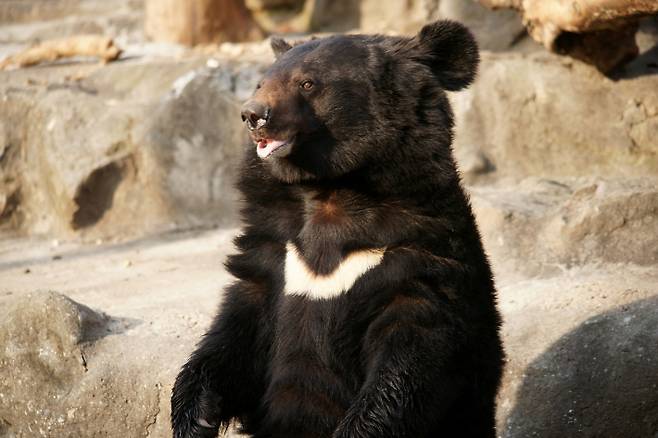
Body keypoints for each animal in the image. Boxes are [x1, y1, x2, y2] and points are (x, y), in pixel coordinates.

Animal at [169, 19, 502, 438]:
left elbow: (411, 357)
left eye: (307, 83)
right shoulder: (274, 254)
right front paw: (194, 418)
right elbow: (233, 334)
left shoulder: (416, 257)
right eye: (261, 83)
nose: (252, 115)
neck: (330, 192)